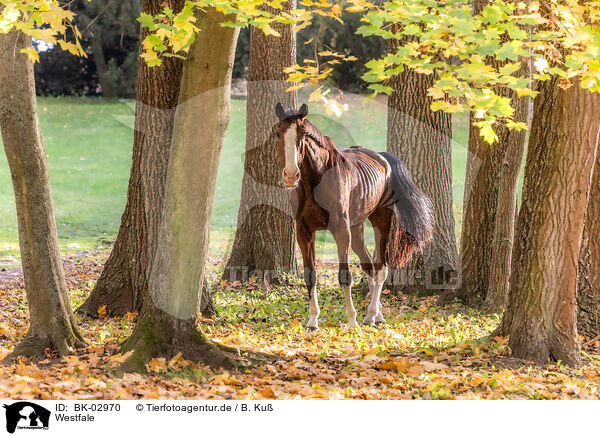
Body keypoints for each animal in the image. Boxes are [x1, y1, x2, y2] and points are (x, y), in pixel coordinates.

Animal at [274, 101, 434, 328]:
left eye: (303, 134)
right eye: (278, 133)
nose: (290, 175)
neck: (316, 182)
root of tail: (382, 158)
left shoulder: (341, 230)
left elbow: (345, 276)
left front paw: (352, 321)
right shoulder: (304, 232)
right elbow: (310, 275)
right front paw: (312, 321)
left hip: (381, 221)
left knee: (381, 268)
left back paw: (371, 314)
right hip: (357, 229)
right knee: (369, 267)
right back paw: (377, 314)